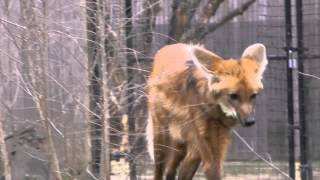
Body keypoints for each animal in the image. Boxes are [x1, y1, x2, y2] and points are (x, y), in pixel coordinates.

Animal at [147, 43, 268, 179]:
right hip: (162, 136)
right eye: (233, 95)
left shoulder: (212, 139)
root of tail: (167, 47)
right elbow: (212, 170)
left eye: (253, 95)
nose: (250, 121)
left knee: (172, 170)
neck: (215, 109)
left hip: (183, 142)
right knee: (160, 169)